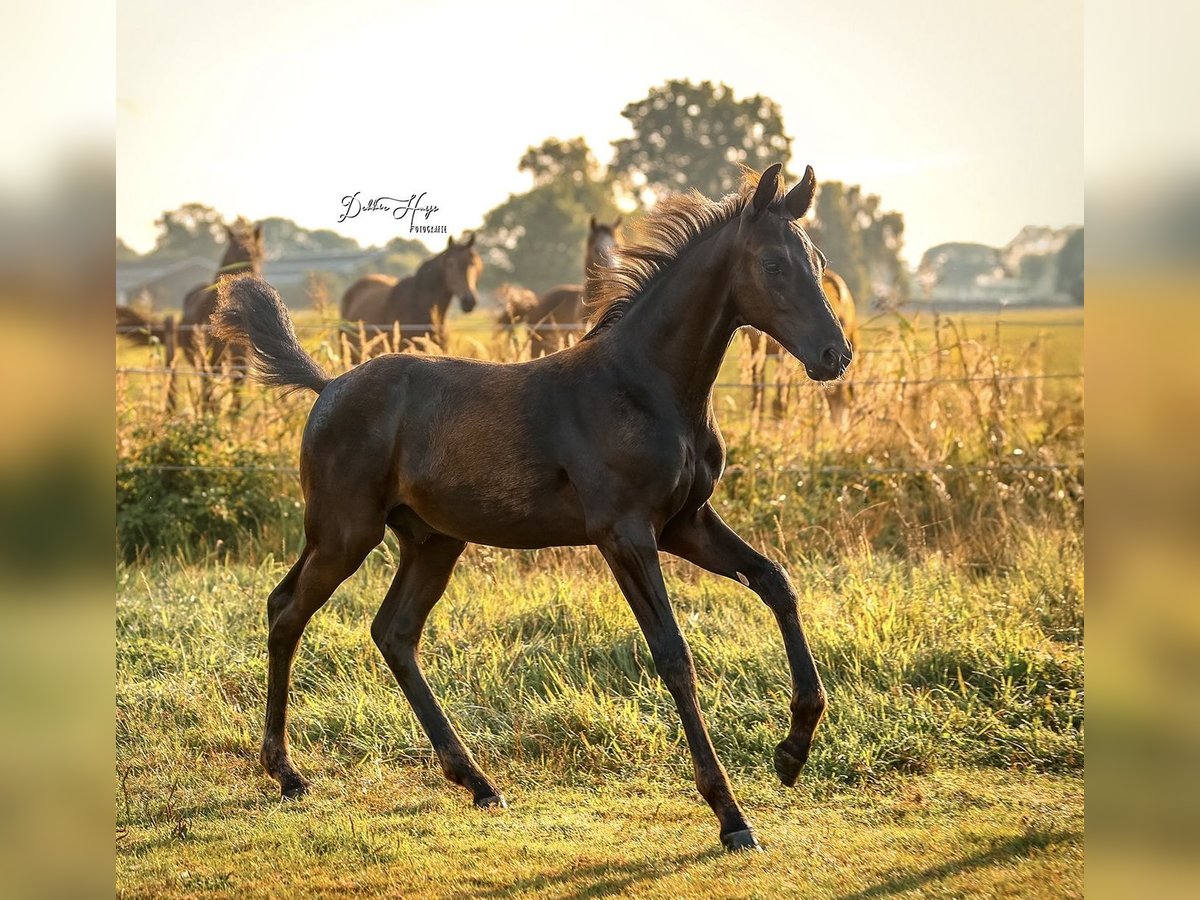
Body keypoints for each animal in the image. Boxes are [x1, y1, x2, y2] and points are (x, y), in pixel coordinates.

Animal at [167, 220, 264, 412]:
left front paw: (234, 416)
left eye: (257, 254)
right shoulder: (212, 358)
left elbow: (236, 391)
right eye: (236, 253)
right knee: (206, 386)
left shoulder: (240, 359)